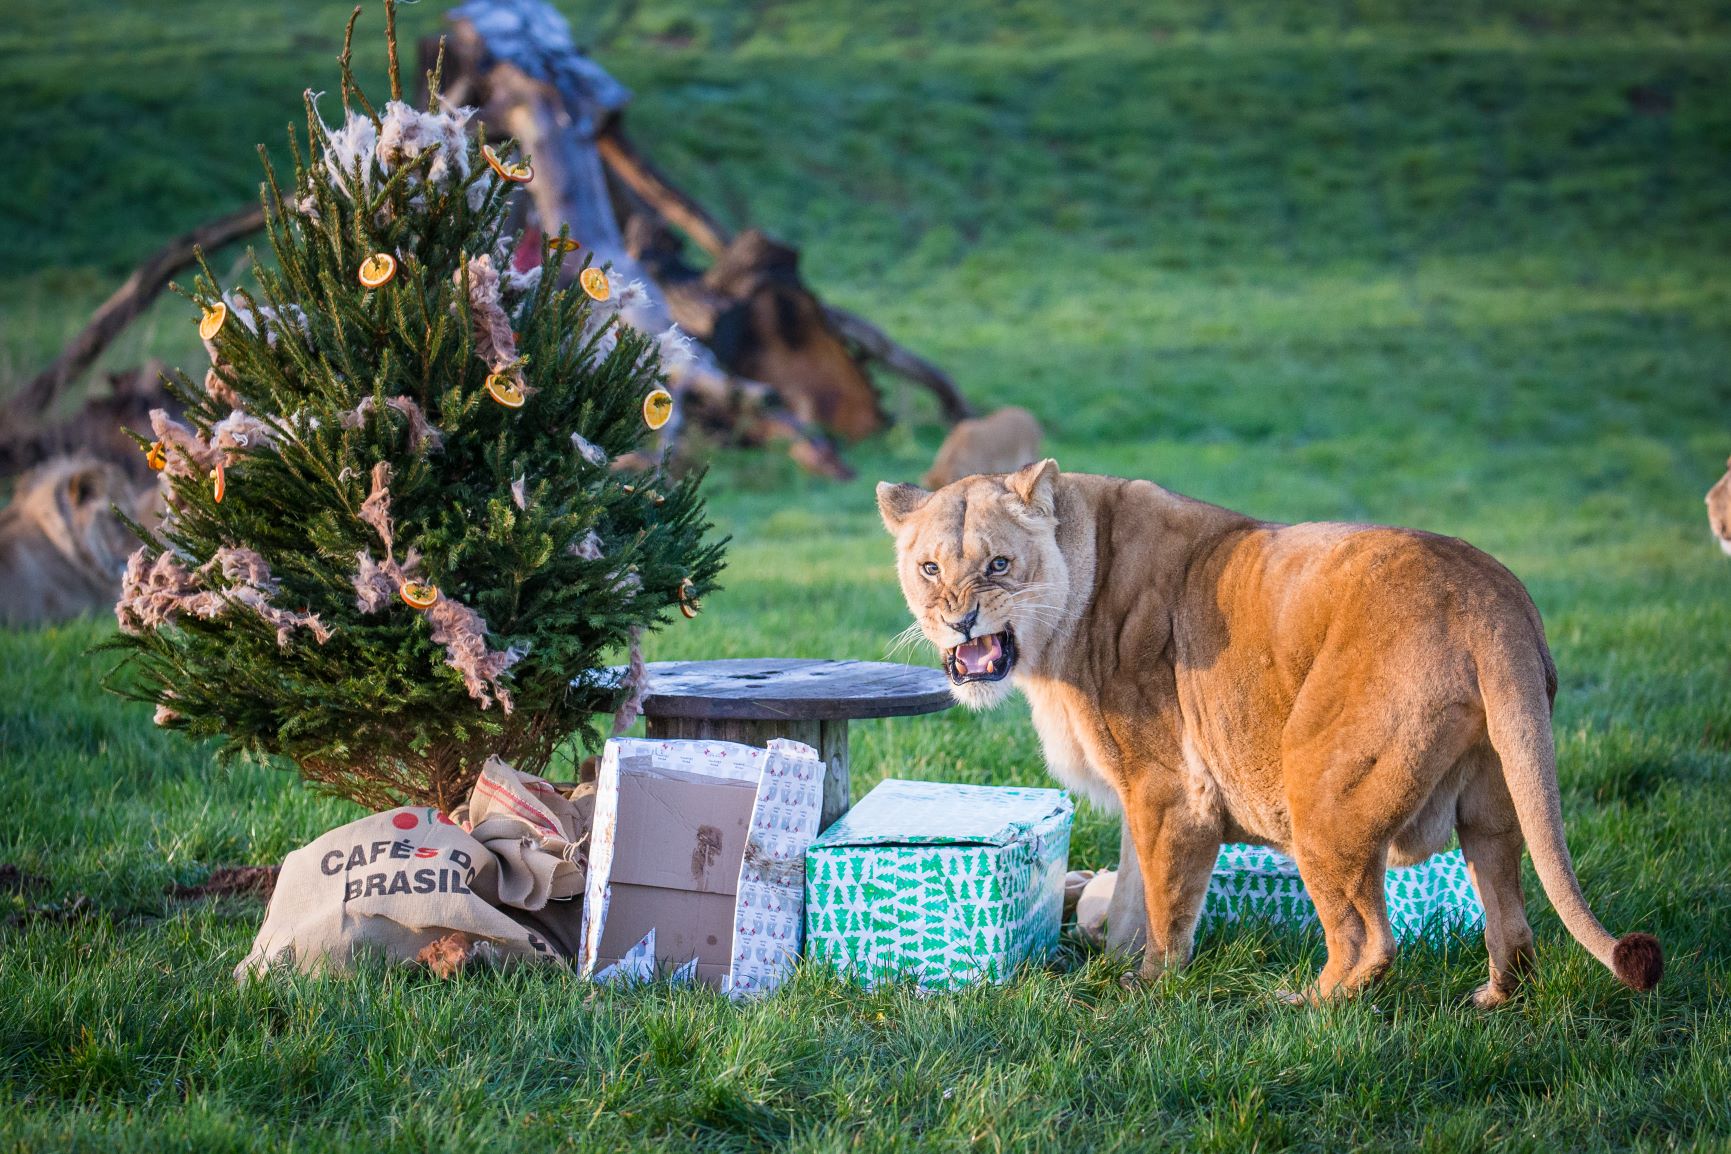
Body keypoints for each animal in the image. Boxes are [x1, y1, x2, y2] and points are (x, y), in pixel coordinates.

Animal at [879, 456, 1661, 1003]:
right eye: (929, 568)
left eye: (999, 564)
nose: (959, 620)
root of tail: (1490, 597)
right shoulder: (1143, 794)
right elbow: (1132, 895)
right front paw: (1118, 969)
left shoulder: (1171, 791)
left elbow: (1164, 902)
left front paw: (1150, 990)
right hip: (1495, 806)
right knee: (1514, 926)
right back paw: (1490, 999)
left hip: (1319, 786)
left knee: (1367, 939)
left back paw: (1301, 1004)